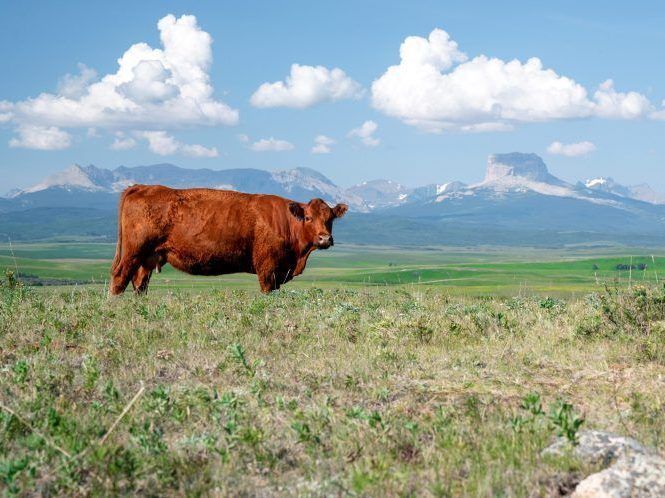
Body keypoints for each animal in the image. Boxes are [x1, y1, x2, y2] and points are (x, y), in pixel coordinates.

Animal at [109, 185, 348, 295]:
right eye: (308, 217)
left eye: (331, 218)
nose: (325, 238)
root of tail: (142, 186)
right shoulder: (267, 269)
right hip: (133, 252)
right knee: (119, 278)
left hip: (147, 258)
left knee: (139, 283)